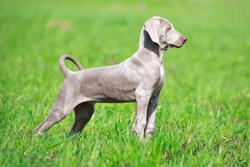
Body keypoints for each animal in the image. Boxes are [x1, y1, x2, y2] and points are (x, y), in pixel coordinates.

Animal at [34, 16, 188, 140]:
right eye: (168, 28)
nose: (185, 39)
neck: (152, 56)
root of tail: (69, 74)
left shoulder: (154, 98)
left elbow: (150, 124)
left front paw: (147, 145)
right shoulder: (142, 94)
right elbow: (141, 122)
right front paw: (140, 145)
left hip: (85, 110)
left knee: (73, 131)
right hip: (62, 107)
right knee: (40, 128)